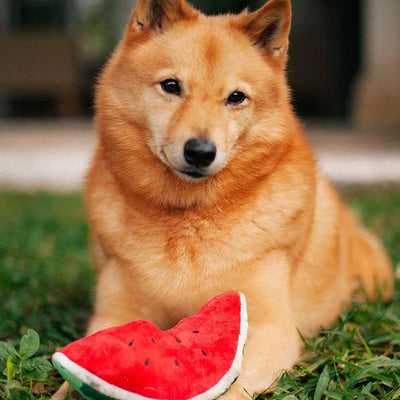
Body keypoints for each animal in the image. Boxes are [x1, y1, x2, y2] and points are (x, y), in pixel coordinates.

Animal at [79, 0, 392, 396]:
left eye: (236, 98)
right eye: (171, 86)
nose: (200, 152)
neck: (188, 216)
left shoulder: (272, 328)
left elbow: (234, 388)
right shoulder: (113, 316)